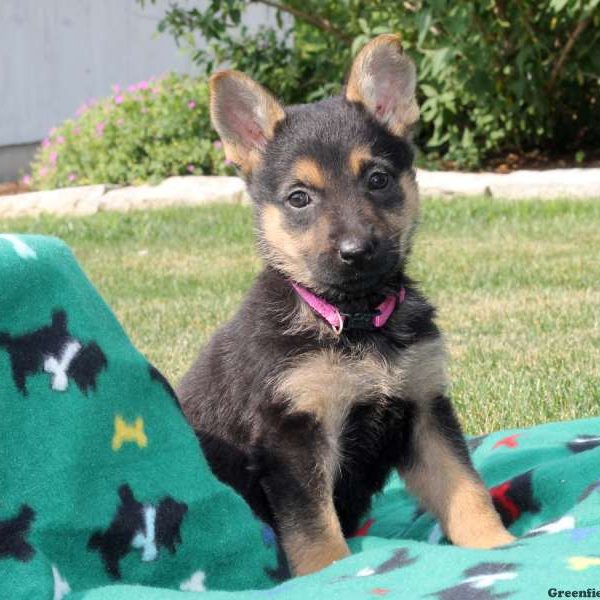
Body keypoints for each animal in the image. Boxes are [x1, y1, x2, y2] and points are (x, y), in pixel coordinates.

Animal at [179, 34, 516, 576]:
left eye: (377, 179)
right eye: (299, 198)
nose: (356, 251)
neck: (355, 320)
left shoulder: (423, 411)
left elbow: (467, 491)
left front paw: (499, 548)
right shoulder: (293, 437)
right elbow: (314, 530)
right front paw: (335, 576)